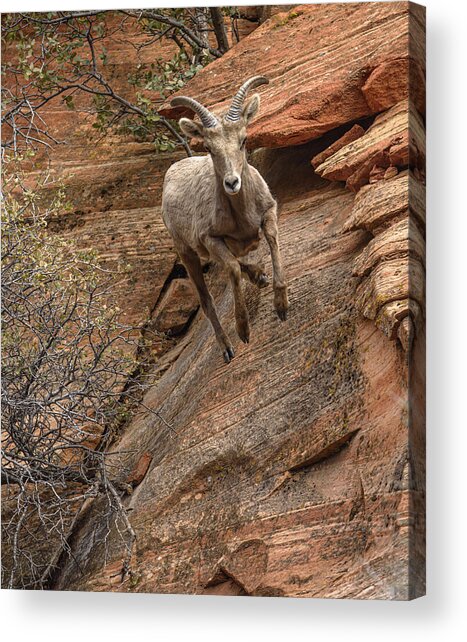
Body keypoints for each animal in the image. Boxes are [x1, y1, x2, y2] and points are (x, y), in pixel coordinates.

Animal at [161, 76, 288, 363]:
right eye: (209, 148)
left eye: (243, 140)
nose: (232, 183)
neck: (241, 216)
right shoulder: (211, 239)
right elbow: (231, 268)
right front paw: (244, 331)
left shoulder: (268, 213)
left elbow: (272, 241)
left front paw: (281, 306)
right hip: (187, 253)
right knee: (207, 300)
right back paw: (227, 349)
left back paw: (259, 277)